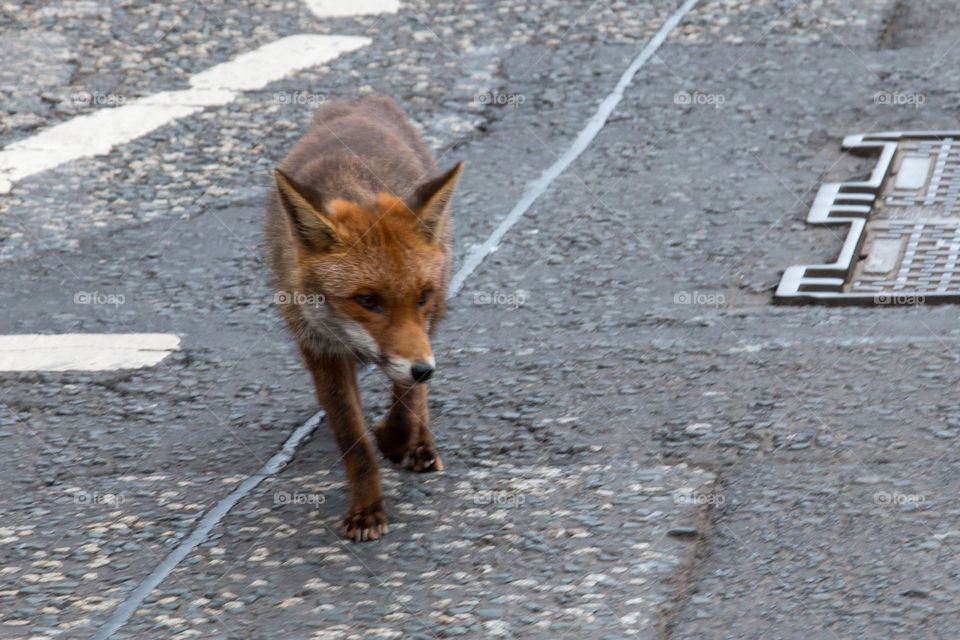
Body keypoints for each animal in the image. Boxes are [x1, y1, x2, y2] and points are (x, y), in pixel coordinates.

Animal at [266, 97, 464, 544]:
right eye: (367, 300)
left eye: (420, 297)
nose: (425, 370)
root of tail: (362, 101)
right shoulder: (319, 348)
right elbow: (352, 441)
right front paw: (367, 510)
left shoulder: (421, 333)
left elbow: (406, 404)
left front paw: (398, 441)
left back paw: (421, 445)